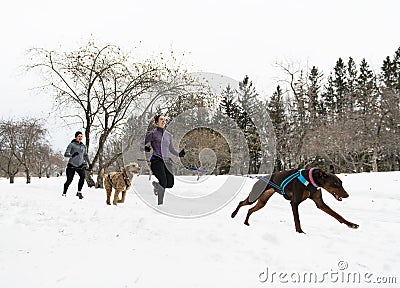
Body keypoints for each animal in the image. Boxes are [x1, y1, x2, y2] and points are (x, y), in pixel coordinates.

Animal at [231, 168, 360, 233]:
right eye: (335, 184)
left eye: (341, 183)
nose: (347, 195)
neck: (311, 180)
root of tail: (260, 179)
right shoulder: (294, 203)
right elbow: (297, 219)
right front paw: (300, 232)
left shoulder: (320, 203)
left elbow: (337, 215)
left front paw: (351, 224)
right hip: (254, 197)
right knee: (241, 203)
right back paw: (233, 214)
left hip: (262, 202)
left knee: (250, 210)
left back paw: (246, 222)